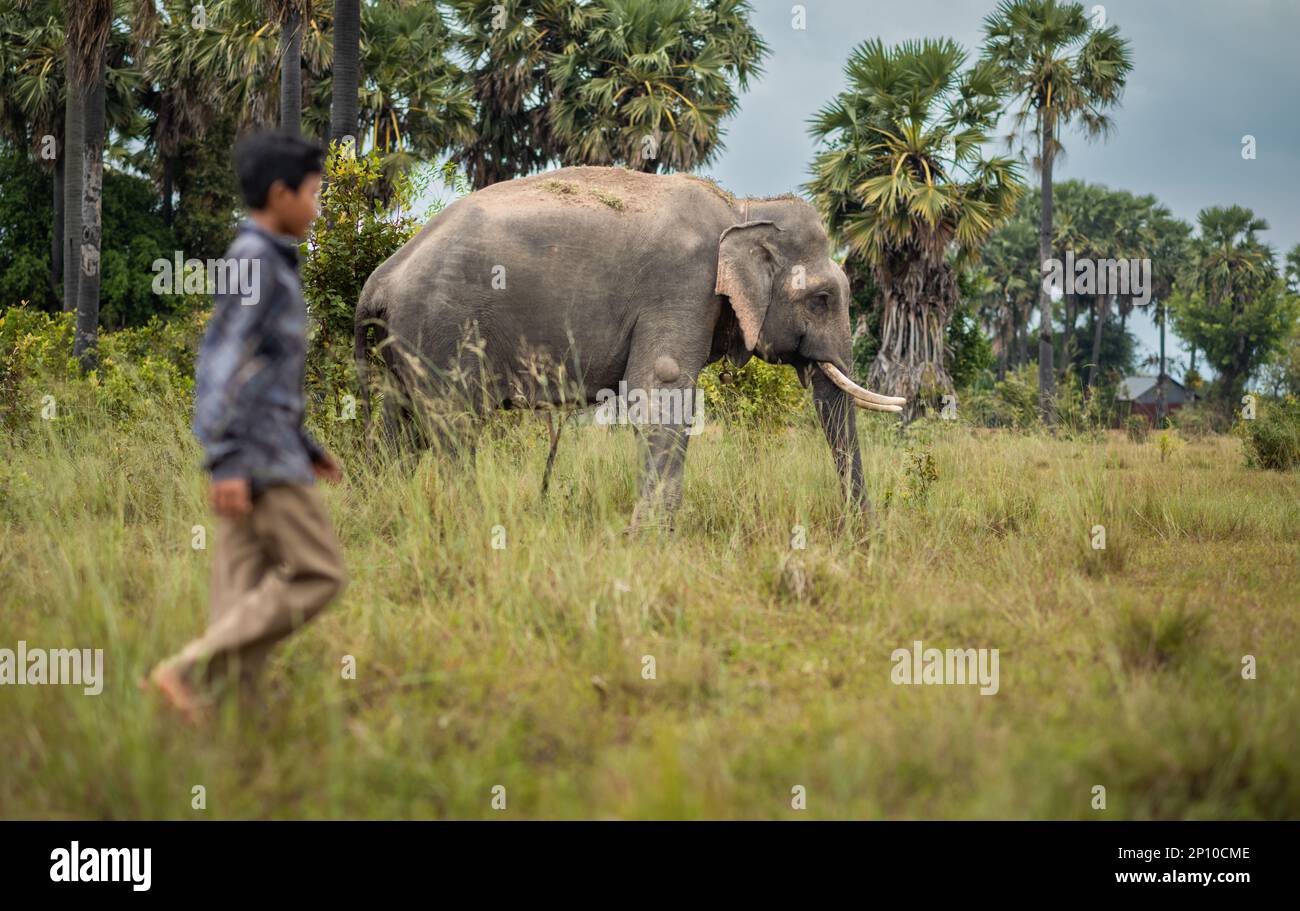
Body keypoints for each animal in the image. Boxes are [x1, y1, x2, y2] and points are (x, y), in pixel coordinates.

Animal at [356, 165, 904, 525]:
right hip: (441, 330)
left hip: (404, 345)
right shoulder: (682, 285)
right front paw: (654, 535)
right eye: (821, 298)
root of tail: (379, 280)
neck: (744, 208)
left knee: (397, 429)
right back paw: (471, 519)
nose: (860, 533)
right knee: (453, 427)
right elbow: (662, 392)